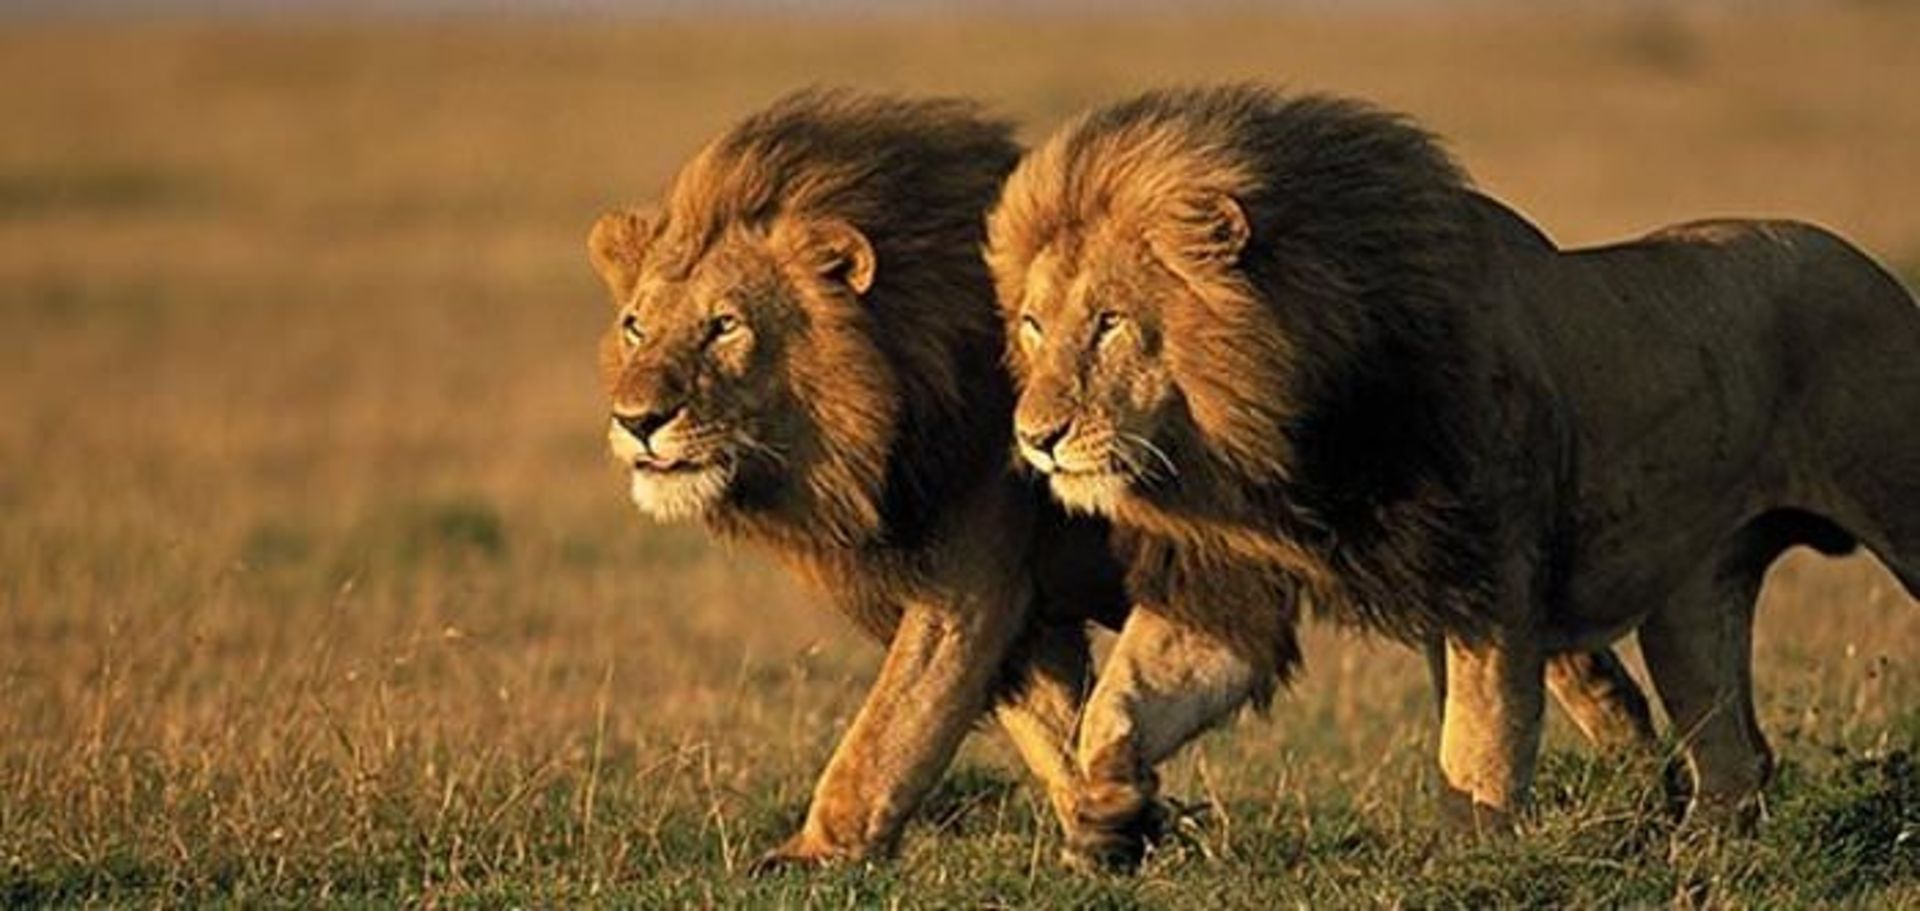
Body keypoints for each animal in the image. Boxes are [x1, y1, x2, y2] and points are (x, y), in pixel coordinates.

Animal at [588, 88, 1659, 869]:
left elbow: (890, 731)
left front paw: (816, 852)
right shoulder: (1023, 612)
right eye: (636, 326)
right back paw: (1654, 783)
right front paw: (1124, 824)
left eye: (725, 327)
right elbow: (1056, 727)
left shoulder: (968, 584)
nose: (636, 420)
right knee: (1568, 659)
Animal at [987, 84, 1919, 866]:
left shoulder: (1492, 578)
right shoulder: (1228, 579)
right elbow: (1119, 706)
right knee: (1735, 758)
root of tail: (1871, 268)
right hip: (1693, 599)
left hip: (1895, 503)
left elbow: (1478, 742)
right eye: (1033, 325)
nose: (1035, 438)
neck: (1287, 435)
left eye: (1110, 323)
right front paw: (1107, 816)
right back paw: (1706, 861)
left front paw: (1475, 862)